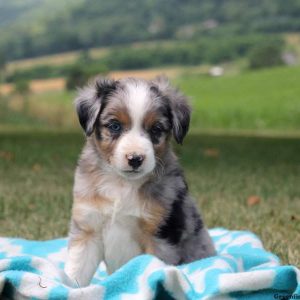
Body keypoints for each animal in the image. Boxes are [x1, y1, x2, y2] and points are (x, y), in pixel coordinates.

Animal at [63, 77, 216, 286]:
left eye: (156, 129)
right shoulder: (88, 229)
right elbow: (76, 271)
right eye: (115, 126)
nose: (135, 159)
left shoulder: (160, 236)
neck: (122, 185)